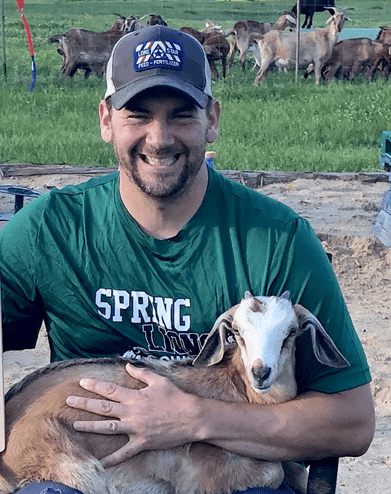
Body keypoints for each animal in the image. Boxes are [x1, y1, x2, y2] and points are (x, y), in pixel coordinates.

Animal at [0, 292, 350, 494]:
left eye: (291, 332)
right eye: (237, 332)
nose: (261, 372)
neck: (237, 390)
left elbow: (295, 471)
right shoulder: (201, 478)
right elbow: (274, 473)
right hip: (78, 474)